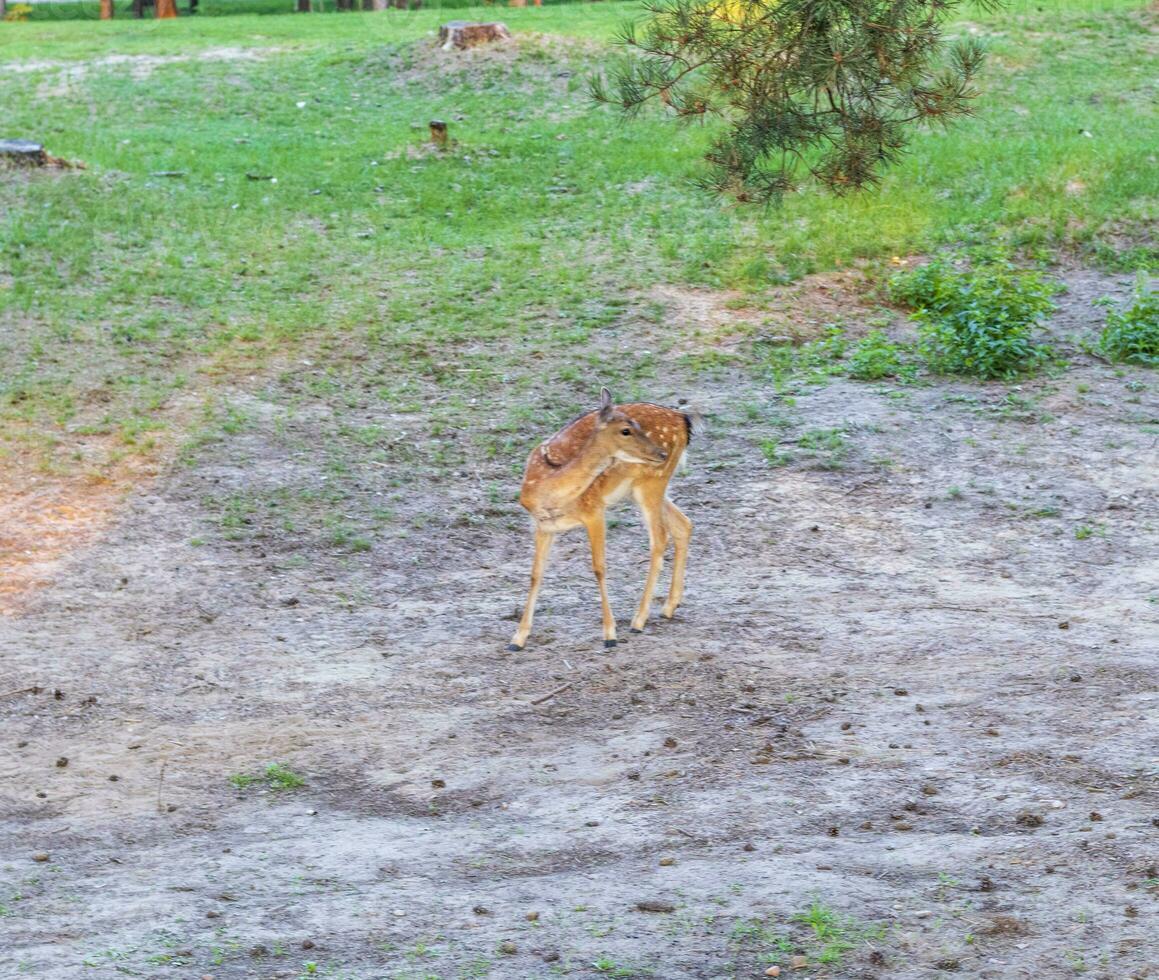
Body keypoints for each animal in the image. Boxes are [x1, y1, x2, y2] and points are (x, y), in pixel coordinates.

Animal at [505, 389, 686, 653]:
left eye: (636, 425)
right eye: (626, 430)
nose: (660, 453)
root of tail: (683, 419)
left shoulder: (594, 510)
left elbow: (599, 568)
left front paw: (610, 634)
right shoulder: (543, 526)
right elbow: (535, 574)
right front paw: (517, 639)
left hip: (652, 482)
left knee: (660, 538)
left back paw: (638, 620)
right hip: (641, 490)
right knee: (684, 524)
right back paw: (669, 607)